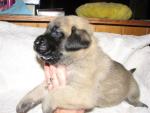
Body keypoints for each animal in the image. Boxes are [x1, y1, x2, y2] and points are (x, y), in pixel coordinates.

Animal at [15, 15, 147, 113]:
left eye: (56, 32)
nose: (35, 42)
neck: (78, 59)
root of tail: (129, 73)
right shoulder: (51, 82)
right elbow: (36, 90)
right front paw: (23, 103)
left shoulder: (81, 94)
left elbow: (55, 94)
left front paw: (46, 105)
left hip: (134, 89)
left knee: (134, 99)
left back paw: (140, 104)